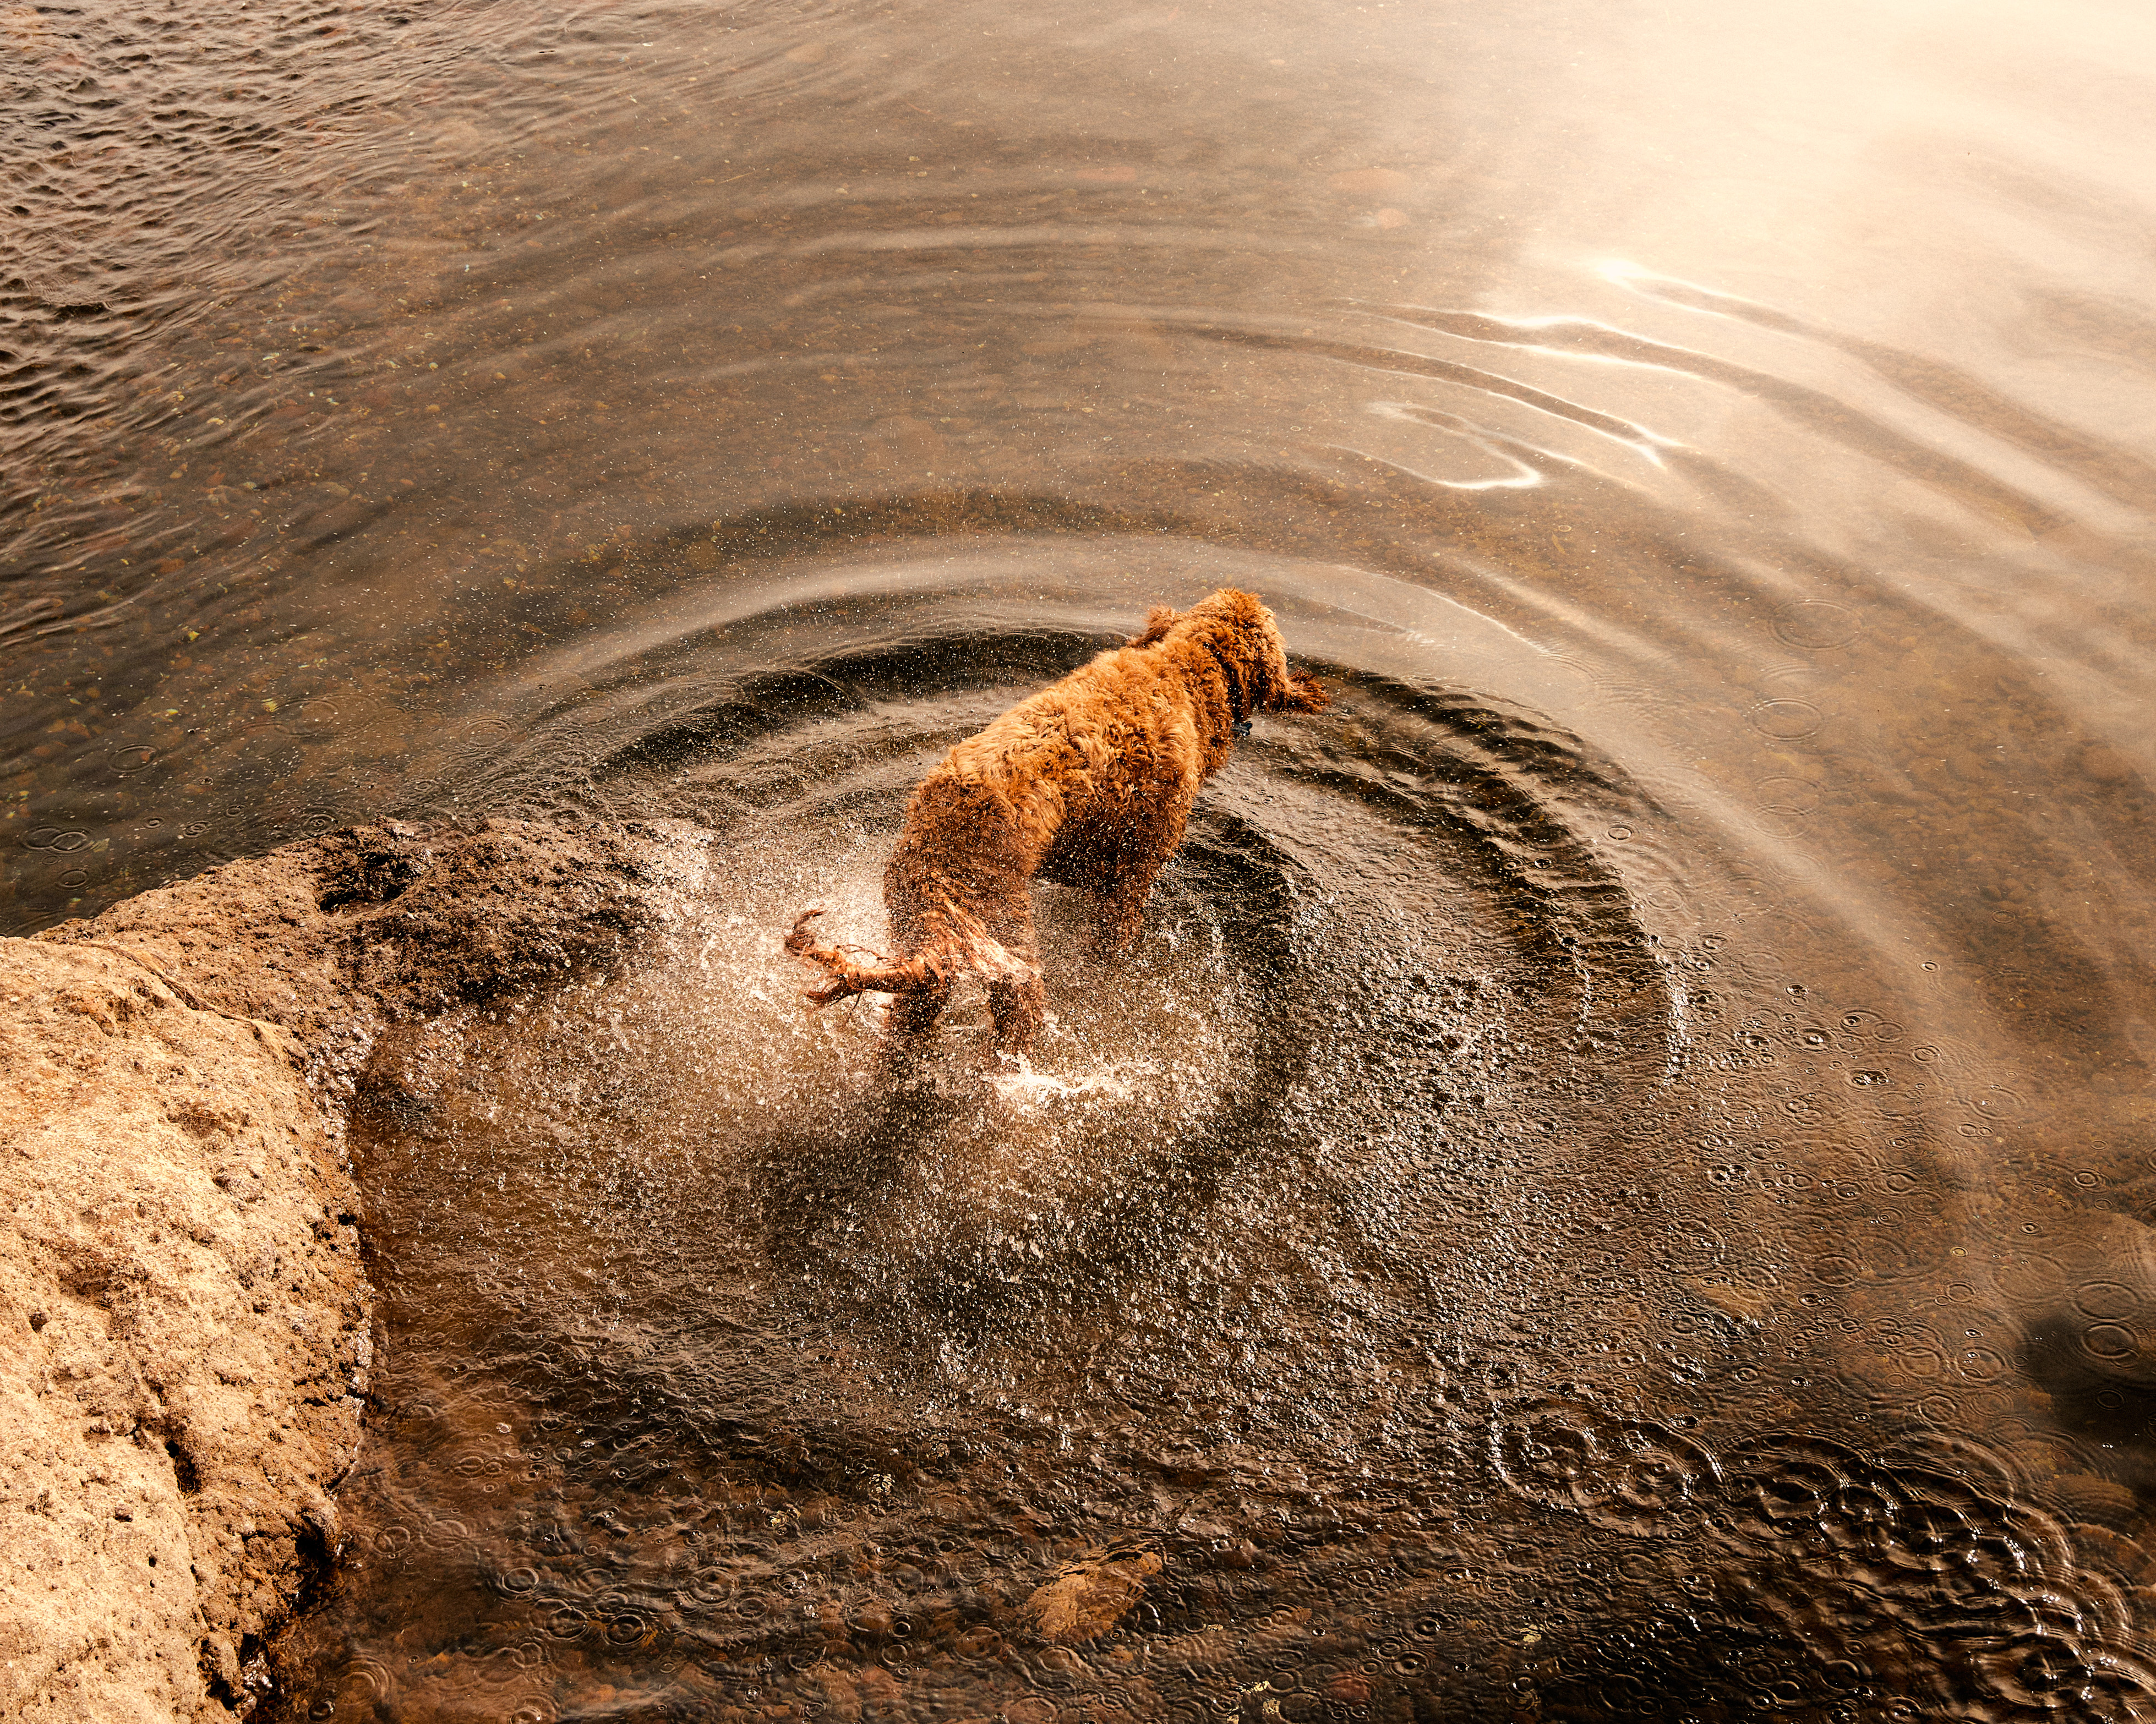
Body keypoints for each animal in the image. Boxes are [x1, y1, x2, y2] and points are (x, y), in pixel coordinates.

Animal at [789, 590, 1328, 1052]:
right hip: (1007, 944)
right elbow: (1113, 936)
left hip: (922, 932)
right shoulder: (1136, 868)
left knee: (913, 1013)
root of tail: (940, 843)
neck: (1182, 671)